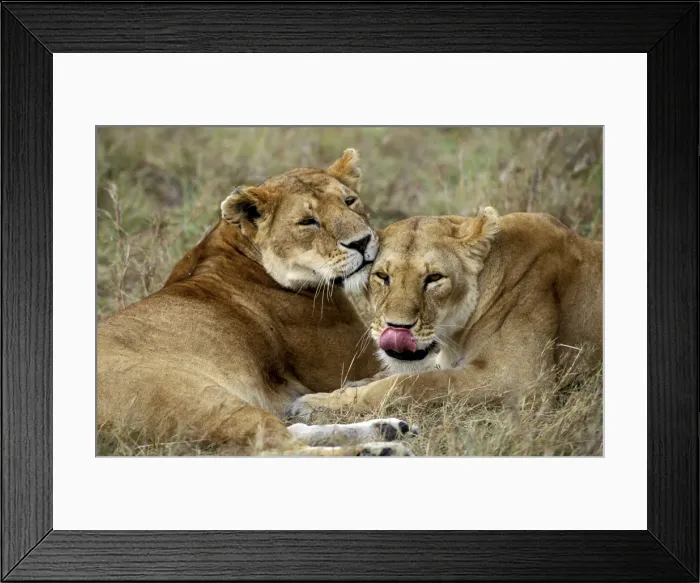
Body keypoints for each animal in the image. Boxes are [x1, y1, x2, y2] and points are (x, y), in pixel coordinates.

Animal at [98, 149, 418, 456]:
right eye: (308, 222)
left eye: (350, 201)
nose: (362, 242)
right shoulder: (354, 365)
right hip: (206, 400)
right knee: (277, 448)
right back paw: (382, 450)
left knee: (292, 430)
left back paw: (388, 429)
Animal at [289, 208, 602, 418]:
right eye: (382, 276)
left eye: (434, 278)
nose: (397, 328)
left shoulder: (520, 381)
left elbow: (407, 384)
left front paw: (316, 404)